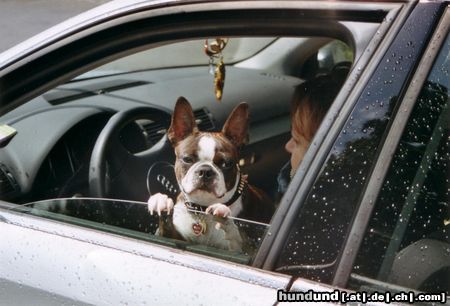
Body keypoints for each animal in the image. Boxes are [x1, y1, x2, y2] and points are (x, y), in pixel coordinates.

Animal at [149, 97, 274, 251]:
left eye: (226, 163)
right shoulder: (175, 238)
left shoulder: (244, 249)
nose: (205, 171)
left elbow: (239, 240)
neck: (202, 212)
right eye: (187, 159)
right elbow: (165, 232)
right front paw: (161, 201)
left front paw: (224, 216)